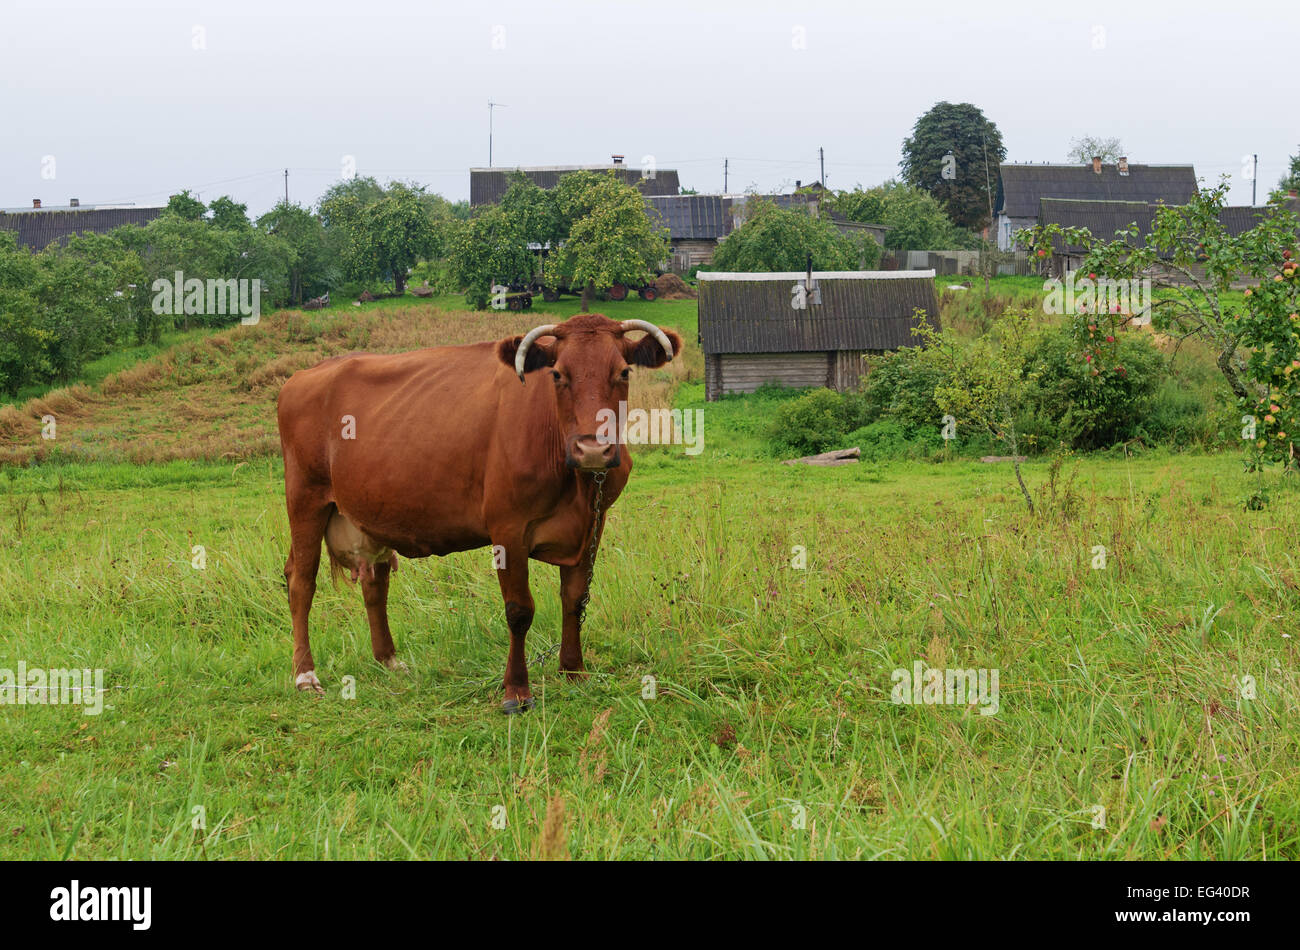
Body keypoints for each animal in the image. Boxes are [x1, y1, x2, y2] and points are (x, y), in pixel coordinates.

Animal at [275, 313, 683, 713]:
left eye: (623, 372)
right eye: (557, 374)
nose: (593, 450)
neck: (576, 485)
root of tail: (305, 375)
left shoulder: (593, 525)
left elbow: (575, 598)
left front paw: (573, 670)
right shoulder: (508, 528)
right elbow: (519, 610)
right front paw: (516, 691)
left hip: (370, 513)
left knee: (375, 582)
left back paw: (388, 659)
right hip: (305, 498)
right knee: (301, 581)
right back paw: (305, 675)